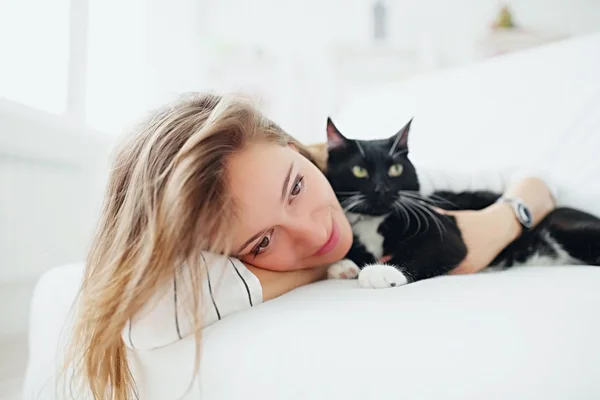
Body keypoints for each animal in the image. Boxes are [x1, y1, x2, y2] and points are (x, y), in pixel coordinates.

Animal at [326, 117, 600, 290]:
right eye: (360, 171)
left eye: (395, 169)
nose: (381, 188)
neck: (375, 222)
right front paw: (344, 264)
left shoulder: (443, 228)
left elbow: (429, 250)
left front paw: (383, 270)